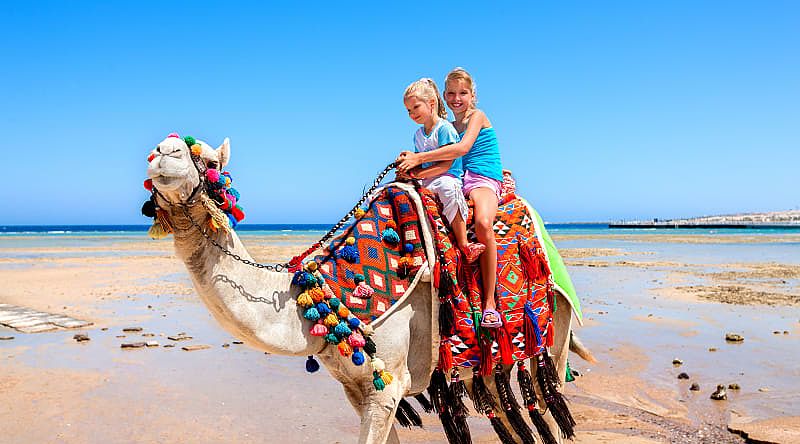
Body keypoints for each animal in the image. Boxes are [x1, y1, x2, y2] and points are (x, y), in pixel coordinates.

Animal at [145, 135, 580, 444]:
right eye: (159, 151)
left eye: (212, 162)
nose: (163, 150)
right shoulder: (357, 388)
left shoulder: (388, 385)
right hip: (487, 365)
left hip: (554, 332)